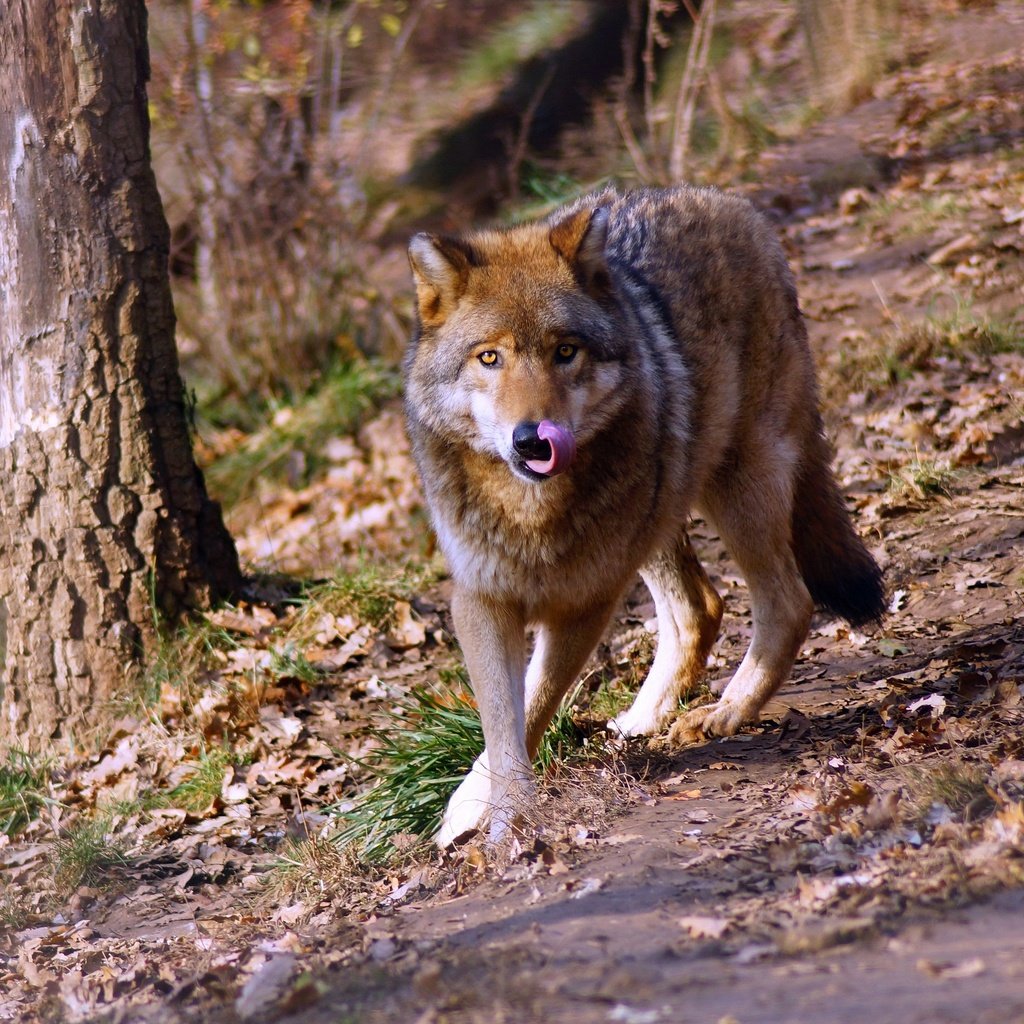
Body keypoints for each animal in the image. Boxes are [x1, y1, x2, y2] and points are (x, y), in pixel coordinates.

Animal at [403, 188, 884, 843]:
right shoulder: (481, 600)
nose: (533, 440)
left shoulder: (586, 602)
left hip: (734, 489)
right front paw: (484, 810)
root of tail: (730, 204)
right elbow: (505, 721)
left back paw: (723, 712)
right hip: (661, 517)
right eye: (490, 358)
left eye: (565, 352)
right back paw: (642, 720)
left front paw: (499, 819)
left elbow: (534, 703)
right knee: (702, 608)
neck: (531, 514)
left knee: (787, 601)